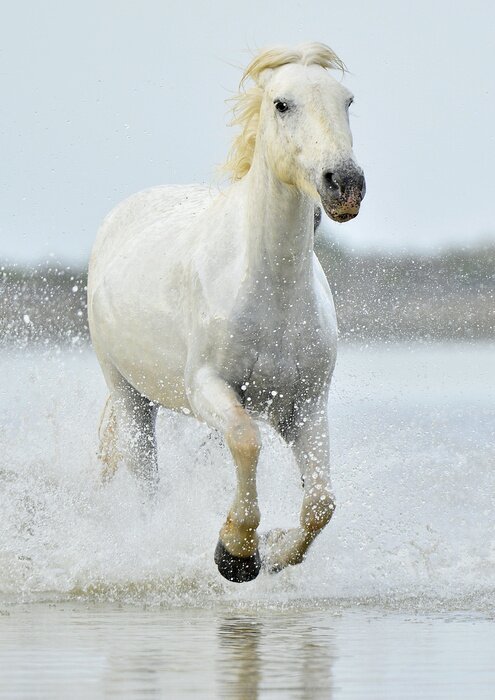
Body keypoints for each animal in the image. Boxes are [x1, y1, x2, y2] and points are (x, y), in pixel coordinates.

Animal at [87, 42, 365, 583]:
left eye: (347, 101)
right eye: (282, 104)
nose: (344, 184)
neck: (271, 292)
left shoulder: (305, 406)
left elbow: (321, 502)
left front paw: (273, 551)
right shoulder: (207, 388)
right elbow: (246, 440)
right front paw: (235, 553)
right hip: (130, 396)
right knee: (147, 482)